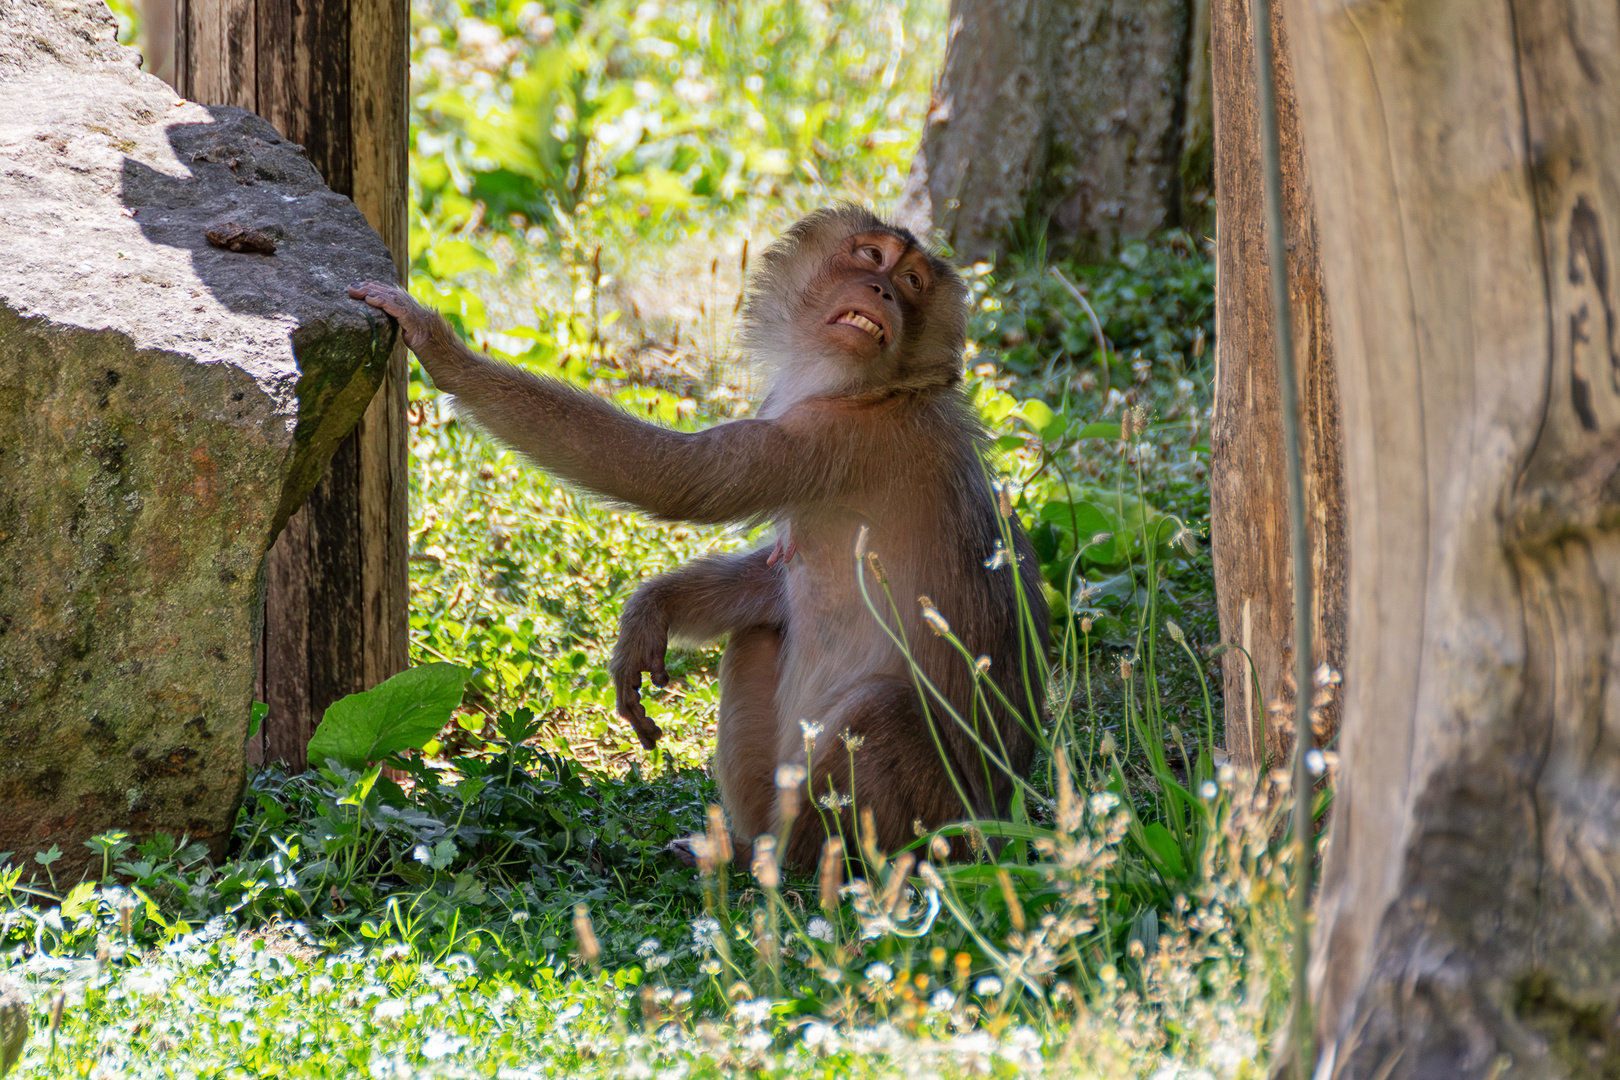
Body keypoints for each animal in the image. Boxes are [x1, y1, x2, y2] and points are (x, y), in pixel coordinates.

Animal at [348, 208, 1043, 867]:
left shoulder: (838, 436)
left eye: (913, 283)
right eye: (872, 256)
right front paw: (654, 608)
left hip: (934, 819)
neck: (885, 390)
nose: (882, 289)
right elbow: (770, 578)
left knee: (882, 712)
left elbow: (681, 479)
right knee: (759, 633)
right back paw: (744, 849)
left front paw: (441, 348)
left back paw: (789, 872)